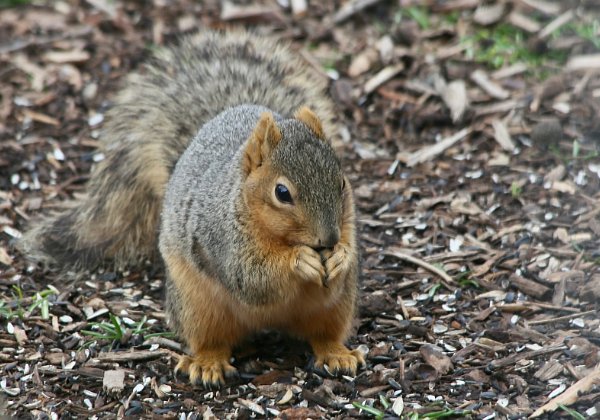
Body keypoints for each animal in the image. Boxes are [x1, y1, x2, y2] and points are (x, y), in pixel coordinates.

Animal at [21, 31, 364, 386]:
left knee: (323, 333)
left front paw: (341, 256)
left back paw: (336, 355)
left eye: (341, 182)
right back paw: (207, 364)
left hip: (338, 307)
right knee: (211, 338)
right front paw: (300, 260)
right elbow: (251, 278)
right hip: (196, 305)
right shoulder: (221, 239)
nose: (328, 240)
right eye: (282, 192)